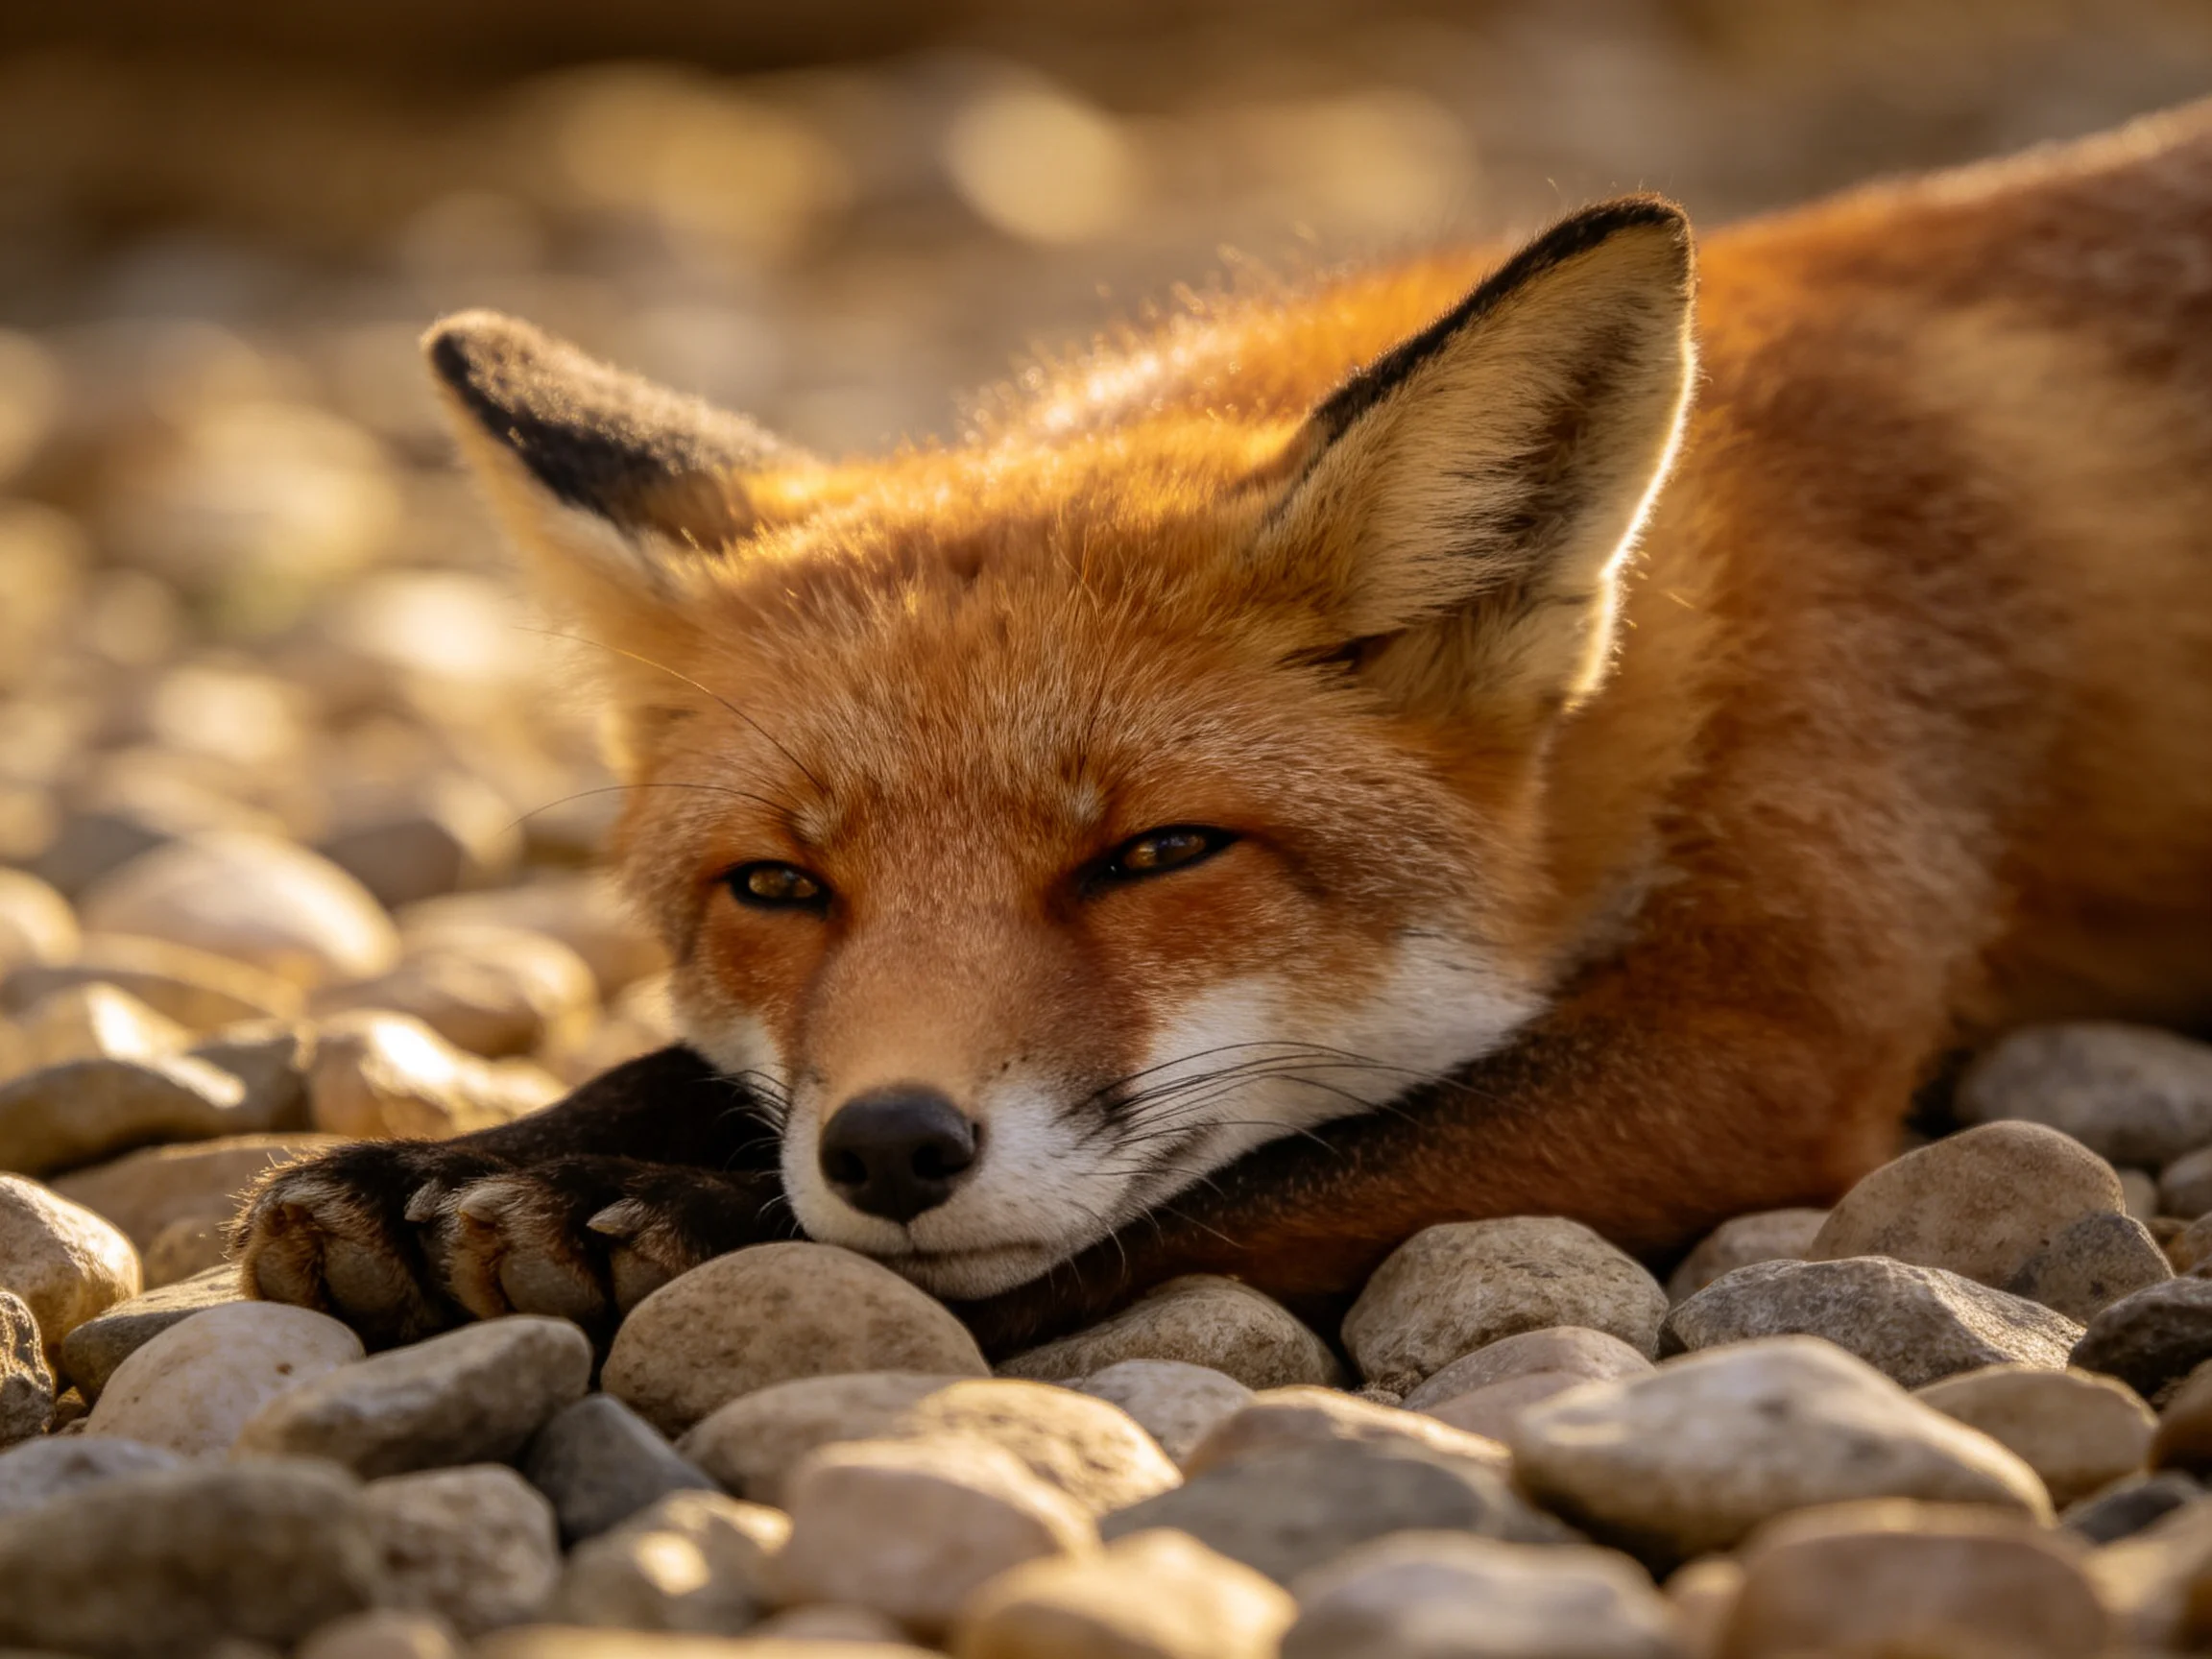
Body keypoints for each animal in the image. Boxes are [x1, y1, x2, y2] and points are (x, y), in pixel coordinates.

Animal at [235, 101, 2212, 1357]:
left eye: (1159, 853)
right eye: (776, 888)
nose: (888, 1149)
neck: (1678, 660)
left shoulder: (1772, 1039)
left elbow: (1246, 1172)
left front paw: (683, 1213)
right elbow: (691, 1068)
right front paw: (483, 1157)